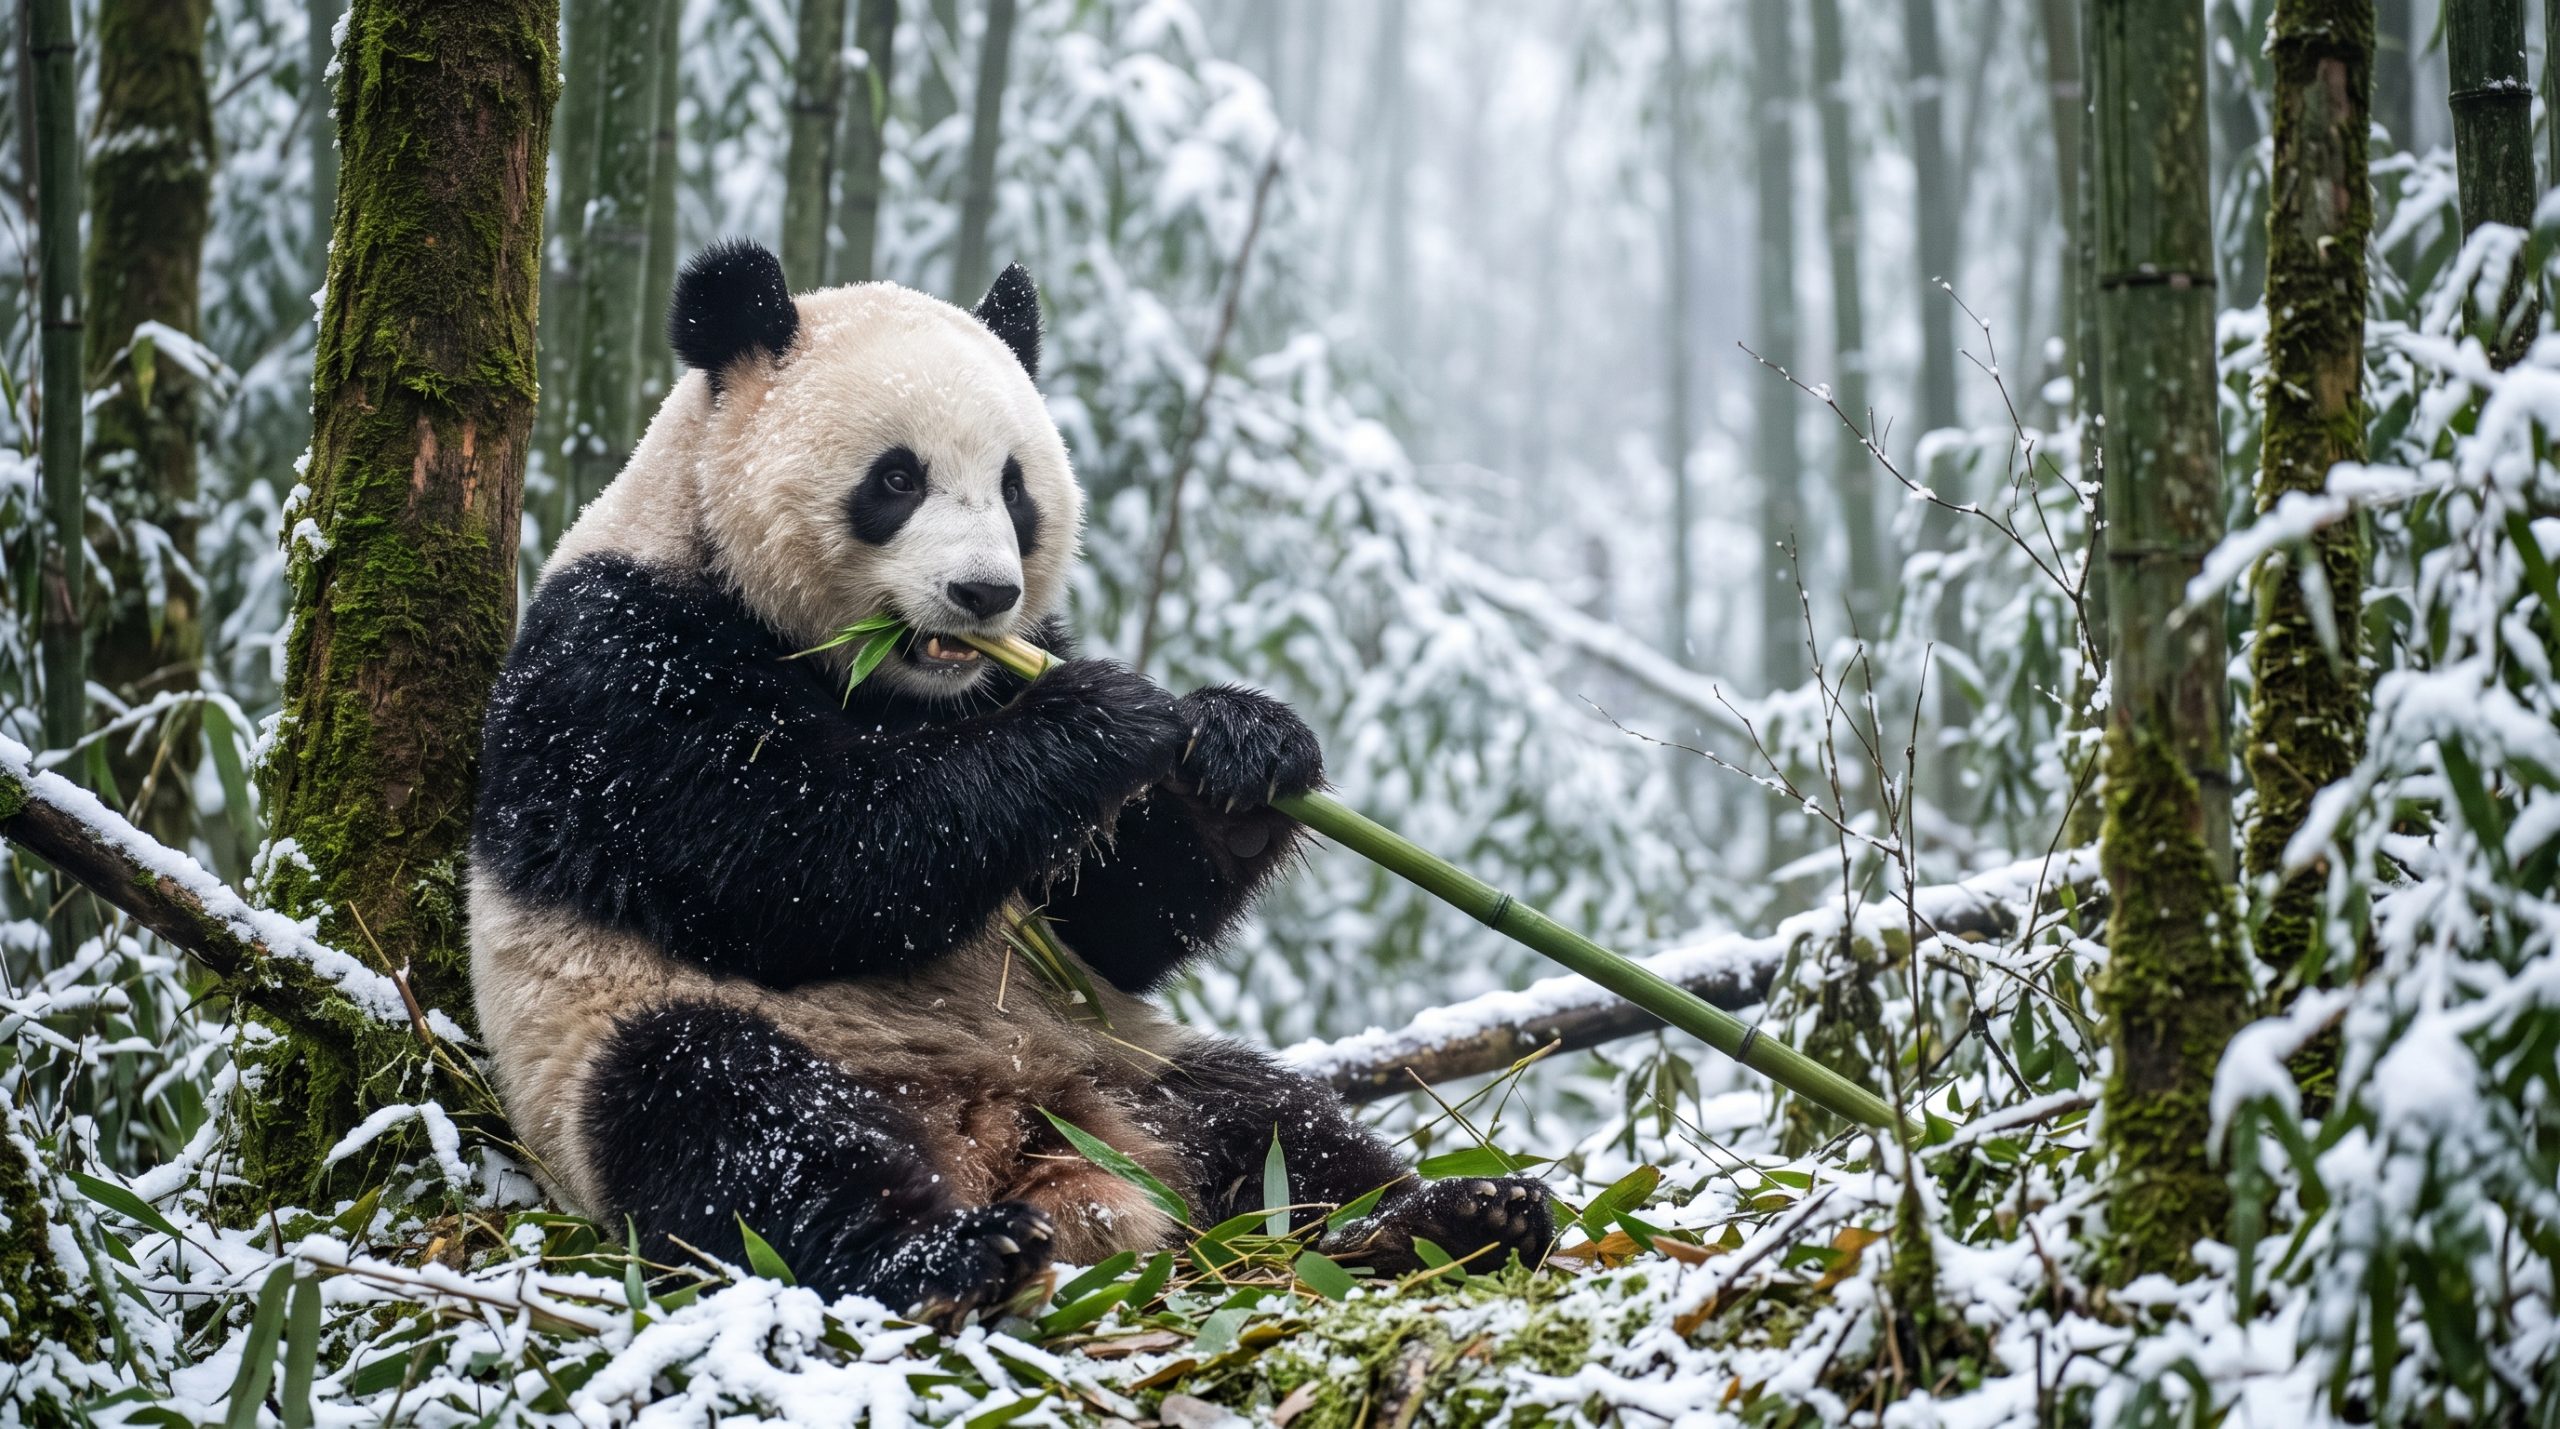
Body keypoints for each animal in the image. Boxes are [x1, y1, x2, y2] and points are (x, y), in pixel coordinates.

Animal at [468, 240, 1551, 1320]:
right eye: (896, 477)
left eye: (1014, 487)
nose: (984, 592)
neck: (892, 681)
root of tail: (1013, 1136)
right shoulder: (618, 658)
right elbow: (789, 852)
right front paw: (1104, 716)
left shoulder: (1020, 661)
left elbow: (1109, 920)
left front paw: (1240, 746)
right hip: (636, 1045)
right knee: (735, 1121)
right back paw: (949, 1254)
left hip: (1120, 1056)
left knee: (1276, 1127)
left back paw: (1447, 1217)